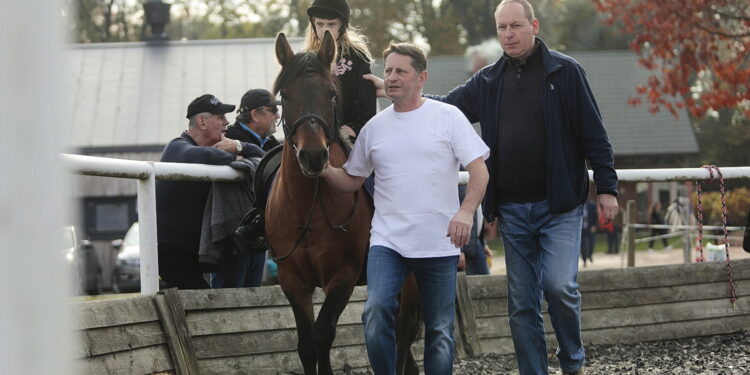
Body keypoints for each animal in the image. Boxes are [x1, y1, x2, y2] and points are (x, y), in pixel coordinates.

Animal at [268, 33, 424, 375]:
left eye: (330, 94)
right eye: (285, 96)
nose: (313, 156)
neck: (308, 208)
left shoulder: (343, 276)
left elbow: (322, 335)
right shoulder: (292, 280)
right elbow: (306, 344)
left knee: (404, 330)